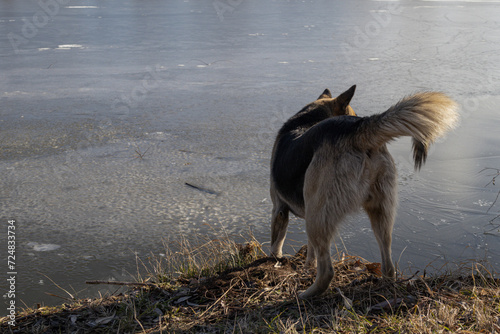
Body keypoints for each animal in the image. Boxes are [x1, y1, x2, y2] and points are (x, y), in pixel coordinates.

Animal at [270, 85, 458, 298]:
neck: (307, 119)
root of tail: (357, 130)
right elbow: (310, 253)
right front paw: (307, 268)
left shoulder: (279, 209)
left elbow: (276, 245)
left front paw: (276, 261)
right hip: (380, 213)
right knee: (388, 264)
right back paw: (385, 286)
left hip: (316, 216)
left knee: (327, 271)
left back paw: (305, 295)